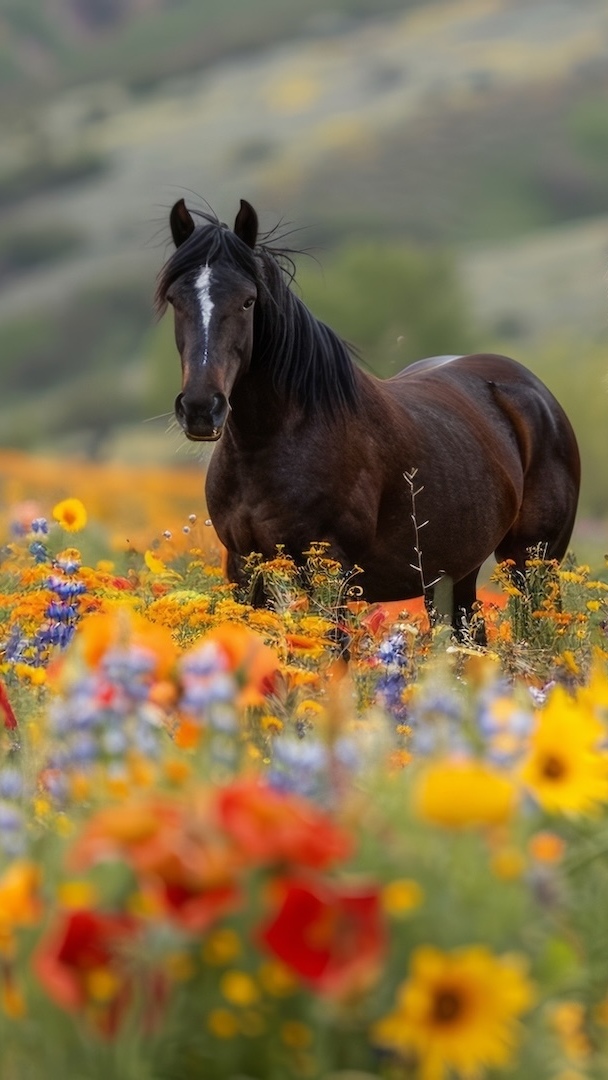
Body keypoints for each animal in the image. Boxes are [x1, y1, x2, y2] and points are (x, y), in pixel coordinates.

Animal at [155, 199, 578, 635]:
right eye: (175, 299)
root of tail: (534, 391)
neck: (271, 440)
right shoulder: (244, 568)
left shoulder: (332, 572)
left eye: (247, 301)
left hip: (533, 562)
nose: (201, 408)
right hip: (453, 574)